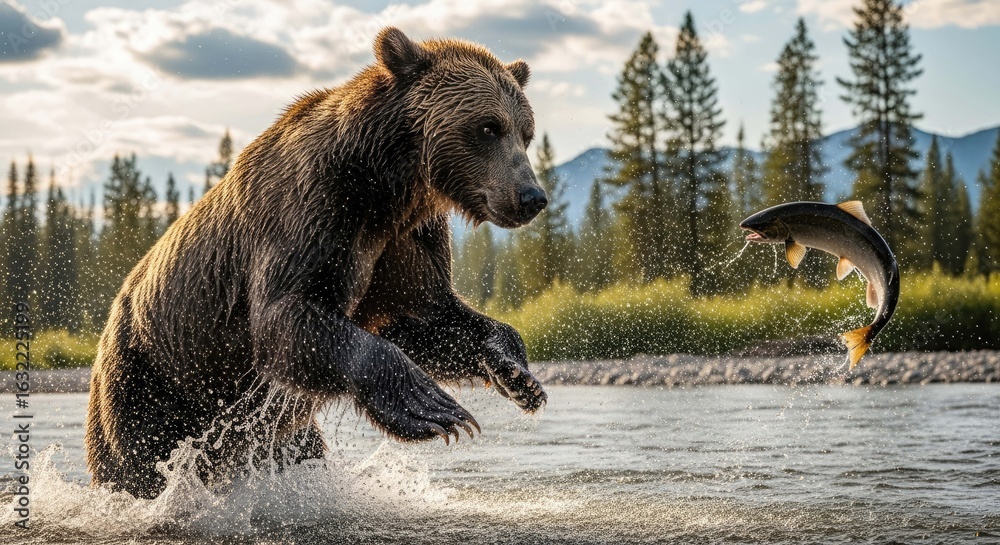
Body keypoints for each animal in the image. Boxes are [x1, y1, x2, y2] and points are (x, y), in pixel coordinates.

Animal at [85, 27, 549, 500]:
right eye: (488, 127)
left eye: (526, 133)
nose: (532, 196)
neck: (386, 186)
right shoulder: (311, 208)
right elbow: (285, 316)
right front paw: (433, 408)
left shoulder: (404, 241)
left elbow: (423, 316)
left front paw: (517, 372)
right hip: (150, 383)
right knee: (138, 462)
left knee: (295, 451)